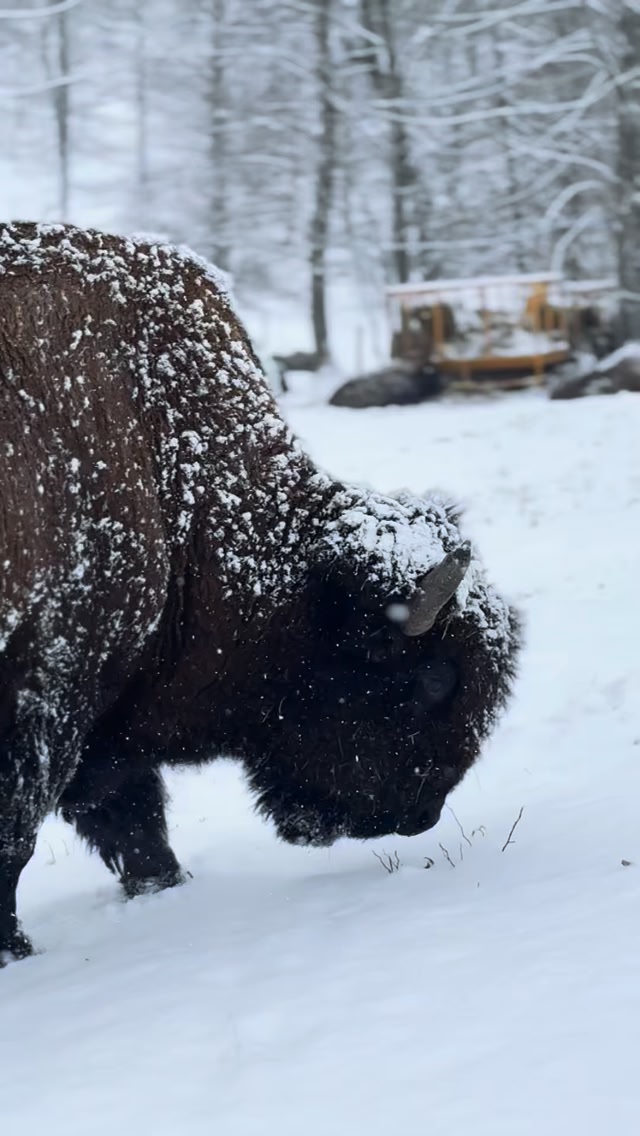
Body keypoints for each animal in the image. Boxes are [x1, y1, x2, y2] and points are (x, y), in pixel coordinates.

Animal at [0, 223, 520, 963]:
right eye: (434, 679)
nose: (420, 815)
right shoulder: (53, 683)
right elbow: (22, 833)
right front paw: (15, 949)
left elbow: (131, 816)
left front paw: (166, 885)